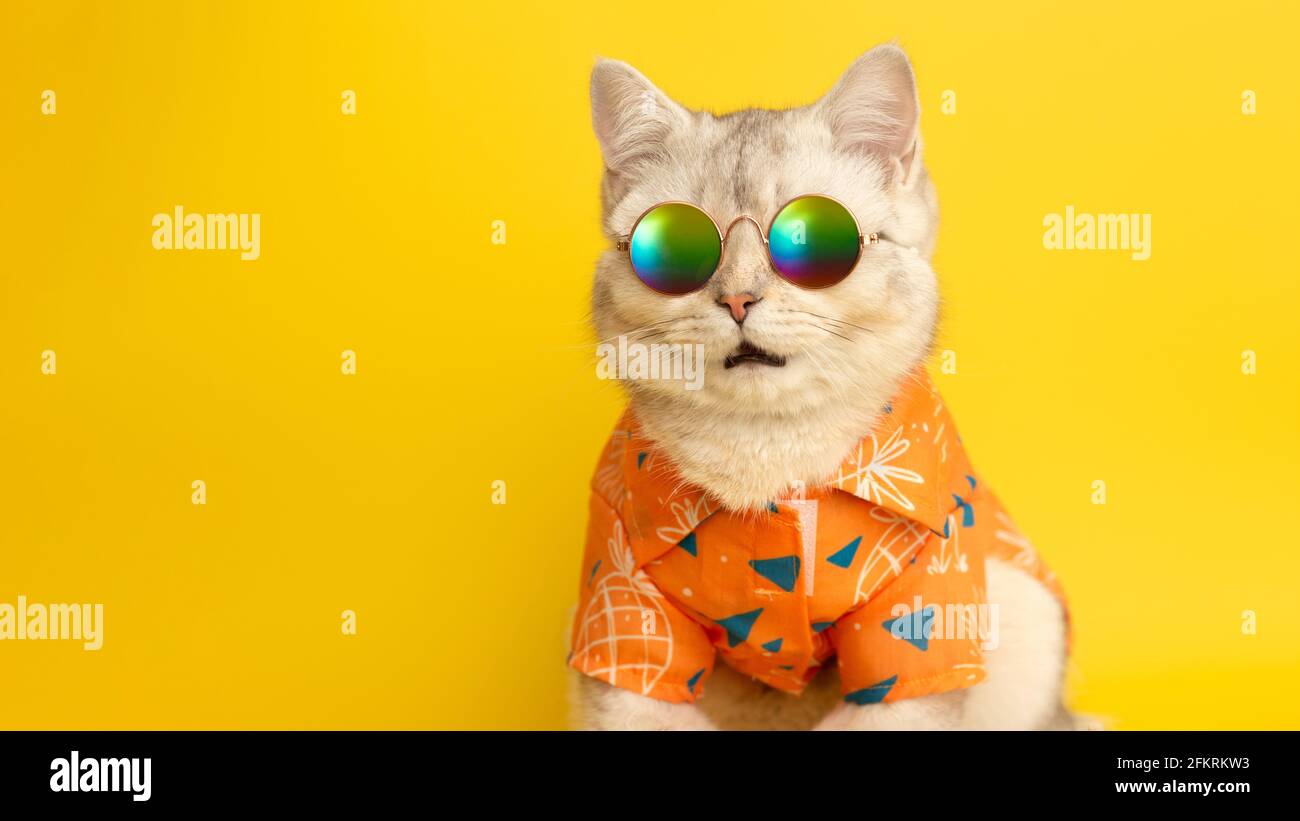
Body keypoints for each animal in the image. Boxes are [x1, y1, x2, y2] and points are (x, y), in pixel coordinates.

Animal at [574, 44, 1081, 727]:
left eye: (811, 240)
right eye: (673, 248)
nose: (738, 298)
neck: (767, 453)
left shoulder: (920, 621)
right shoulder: (622, 601)